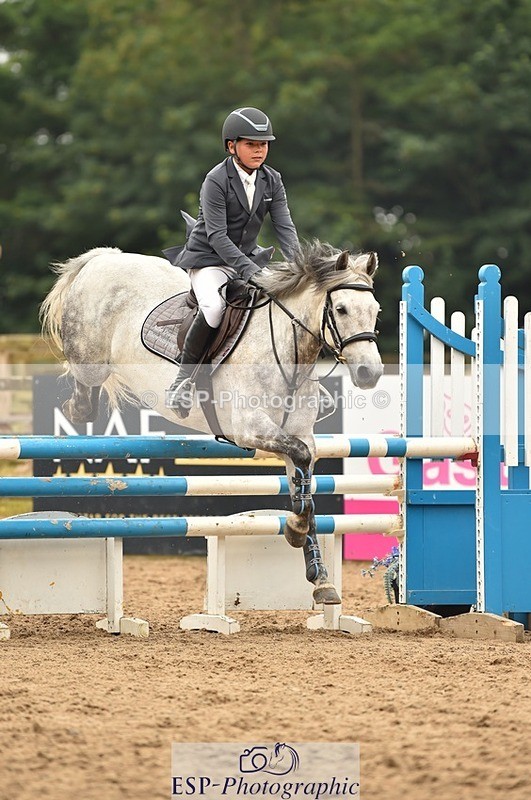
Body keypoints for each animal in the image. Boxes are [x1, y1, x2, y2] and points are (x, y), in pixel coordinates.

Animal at [40, 240, 383, 606]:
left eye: (375, 310)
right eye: (342, 309)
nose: (370, 373)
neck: (286, 349)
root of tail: (103, 258)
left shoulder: (300, 435)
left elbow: (305, 490)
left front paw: (319, 576)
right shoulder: (251, 429)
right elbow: (301, 463)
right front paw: (295, 532)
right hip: (90, 360)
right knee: (83, 398)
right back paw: (76, 407)